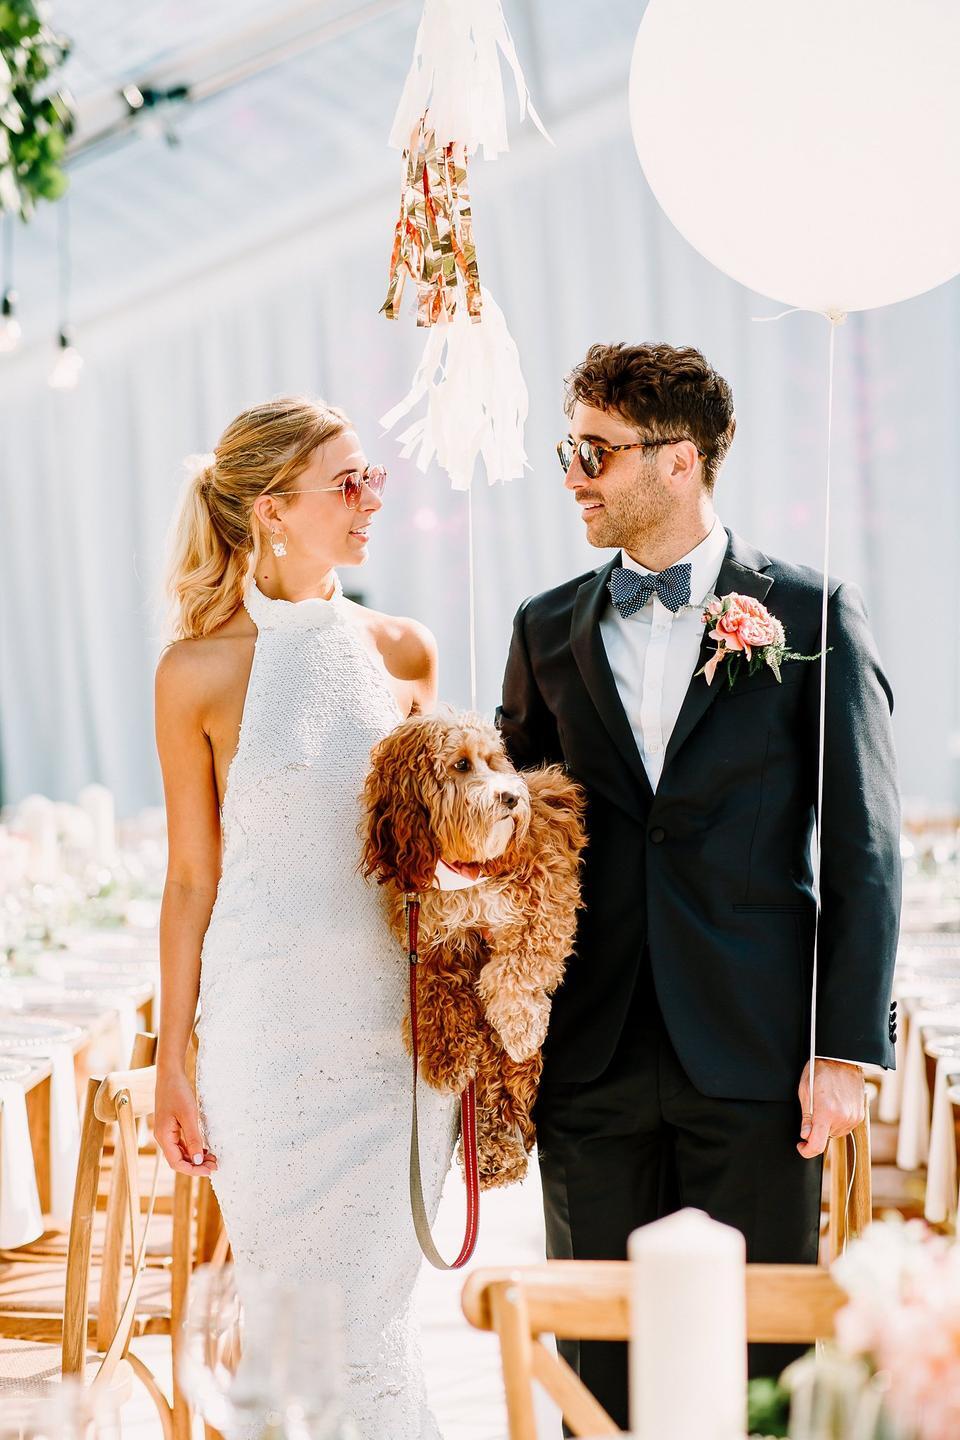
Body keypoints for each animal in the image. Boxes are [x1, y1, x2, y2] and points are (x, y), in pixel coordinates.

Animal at [359, 711, 587, 1192]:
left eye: (492, 760)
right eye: (461, 765)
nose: (511, 797)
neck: (465, 872)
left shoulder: (546, 894)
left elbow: (514, 968)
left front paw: (520, 1026)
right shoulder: (434, 941)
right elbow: (438, 996)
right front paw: (447, 1057)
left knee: (506, 1076)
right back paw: (492, 1154)